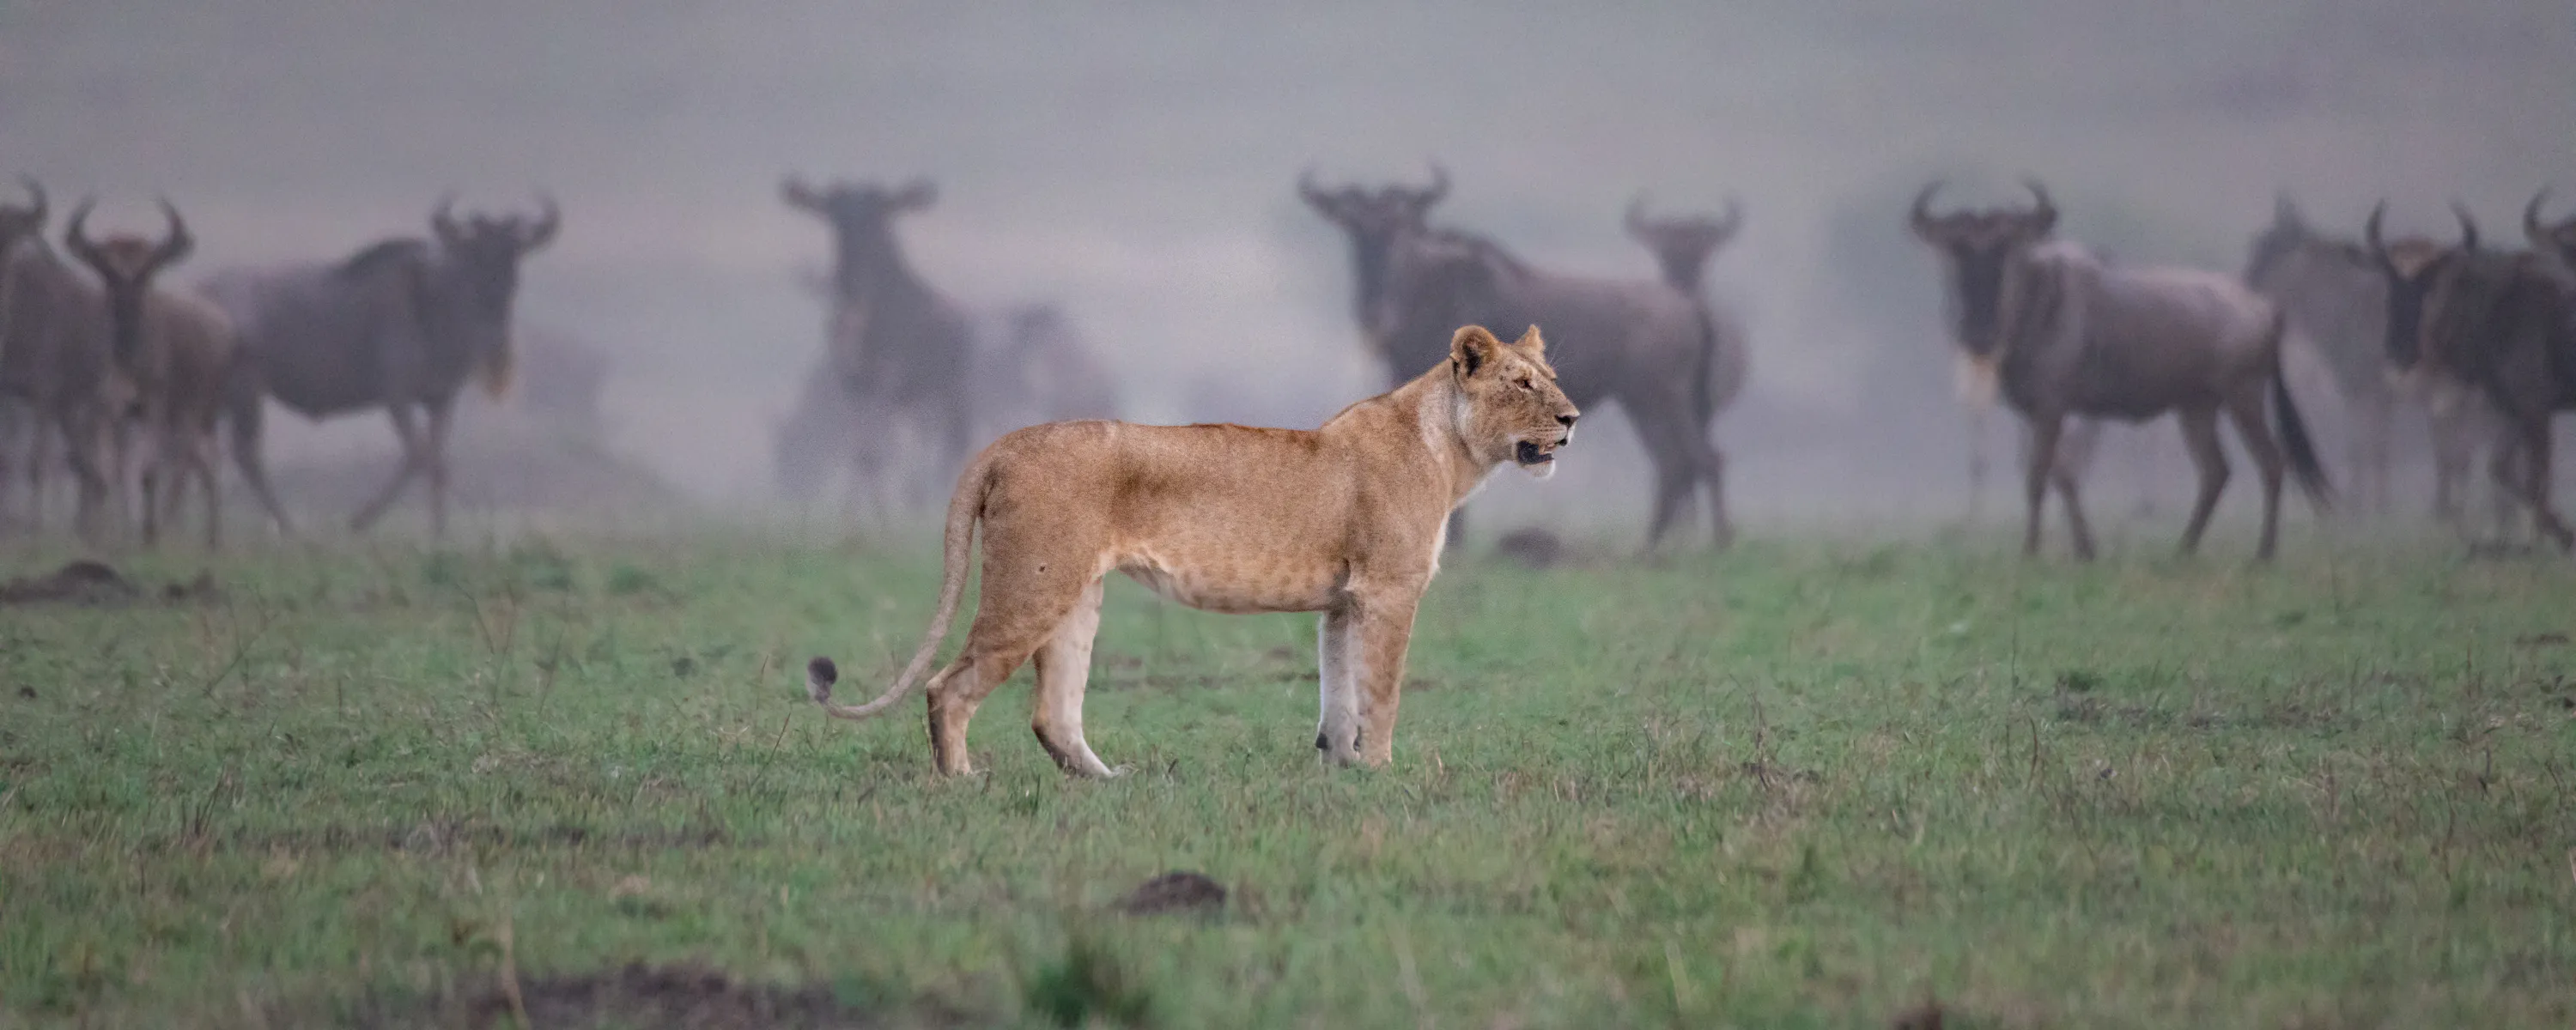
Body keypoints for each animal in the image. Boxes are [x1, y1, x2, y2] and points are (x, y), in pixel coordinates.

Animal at [807, 324, 1580, 776]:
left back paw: (1109, 785)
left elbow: (1339, 693)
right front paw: (1384, 774)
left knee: (1052, 713)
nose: (1573, 419)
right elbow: (1382, 691)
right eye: (1520, 383)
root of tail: (1004, 443)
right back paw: (964, 782)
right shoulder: (1389, 591)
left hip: (1074, 594)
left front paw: (1341, 769)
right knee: (949, 686)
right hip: (1032, 586)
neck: (1449, 451)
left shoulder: (1343, 602)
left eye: (1551, 380)